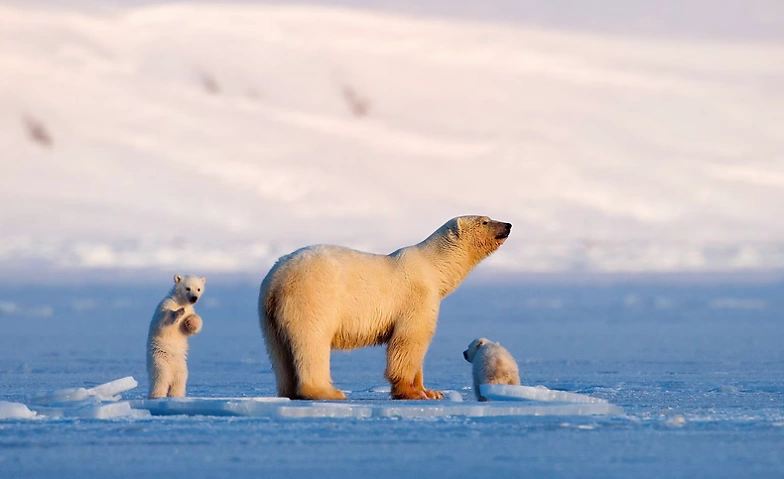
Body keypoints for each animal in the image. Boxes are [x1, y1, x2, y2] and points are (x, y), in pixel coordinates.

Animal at [260, 217, 512, 402]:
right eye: (485, 221)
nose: (508, 225)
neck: (433, 267)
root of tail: (277, 279)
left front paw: (431, 391)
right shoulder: (416, 297)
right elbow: (409, 341)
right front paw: (411, 393)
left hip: (268, 314)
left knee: (279, 352)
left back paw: (289, 392)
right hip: (314, 297)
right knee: (312, 342)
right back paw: (327, 392)